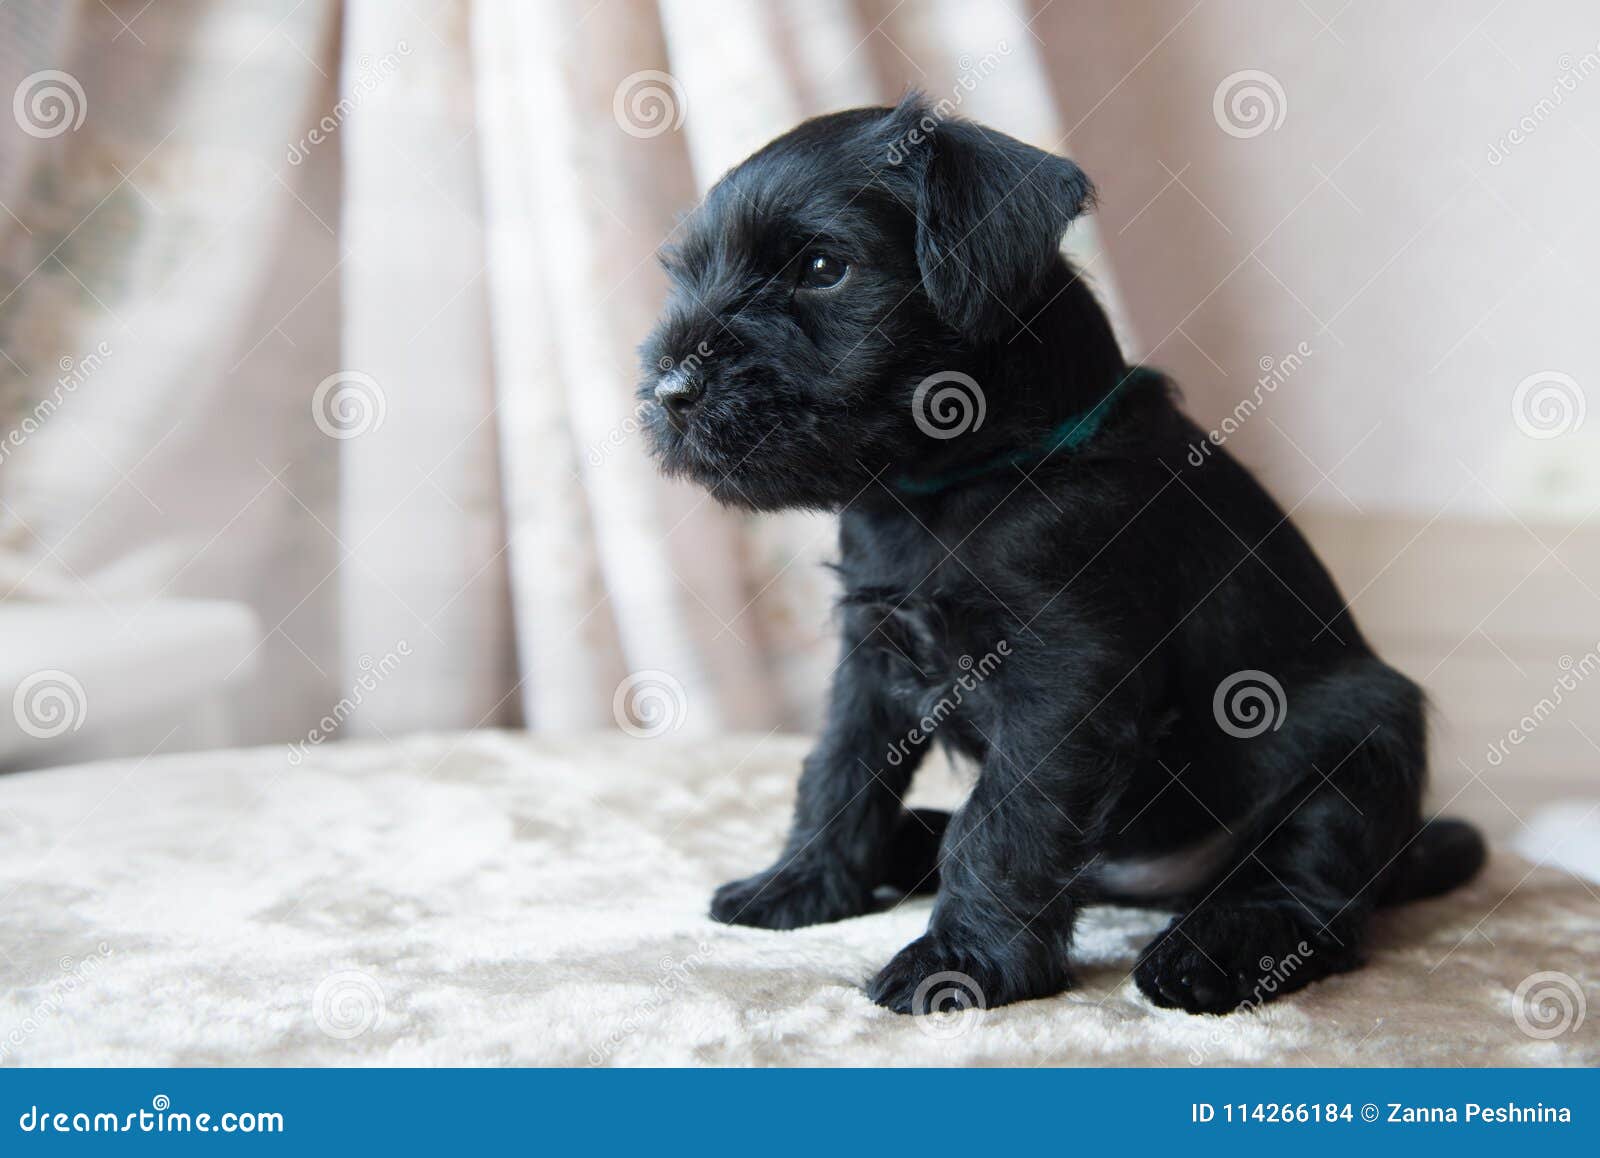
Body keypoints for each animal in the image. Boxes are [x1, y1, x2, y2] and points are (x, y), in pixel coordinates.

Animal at [636, 92, 1484, 1010]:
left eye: (823, 267)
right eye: (685, 273)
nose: (670, 392)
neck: (942, 486)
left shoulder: (1064, 673)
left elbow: (1003, 824)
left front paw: (956, 965)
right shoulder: (870, 654)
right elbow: (840, 772)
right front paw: (798, 886)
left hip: (1362, 732)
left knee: (1314, 895)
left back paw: (1214, 947)